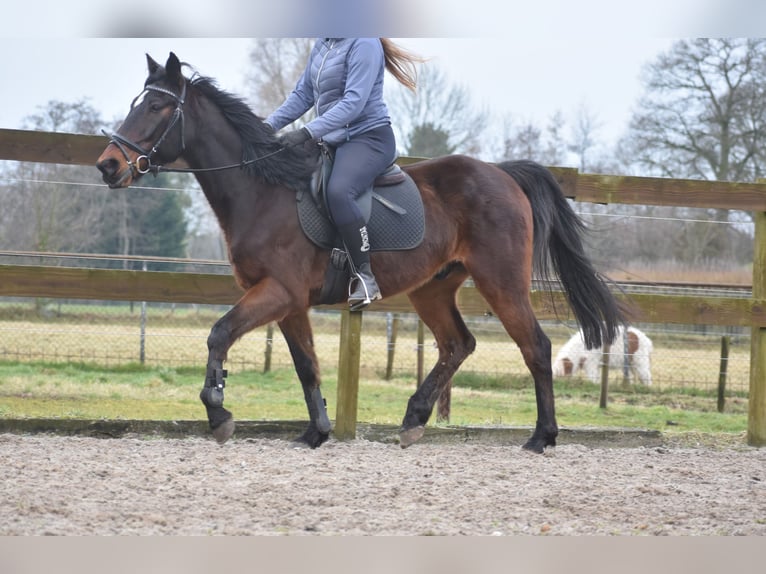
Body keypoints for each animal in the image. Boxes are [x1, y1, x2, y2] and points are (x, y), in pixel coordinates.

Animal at [96, 55, 628, 460]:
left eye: (158, 106)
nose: (108, 165)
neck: (263, 191)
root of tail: (503, 174)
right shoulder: (289, 302)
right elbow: (306, 365)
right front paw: (316, 431)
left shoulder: (277, 292)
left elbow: (219, 334)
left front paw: (219, 411)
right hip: (433, 288)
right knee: (457, 344)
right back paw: (413, 420)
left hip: (501, 281)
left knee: (534, 347)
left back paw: (542, 437)